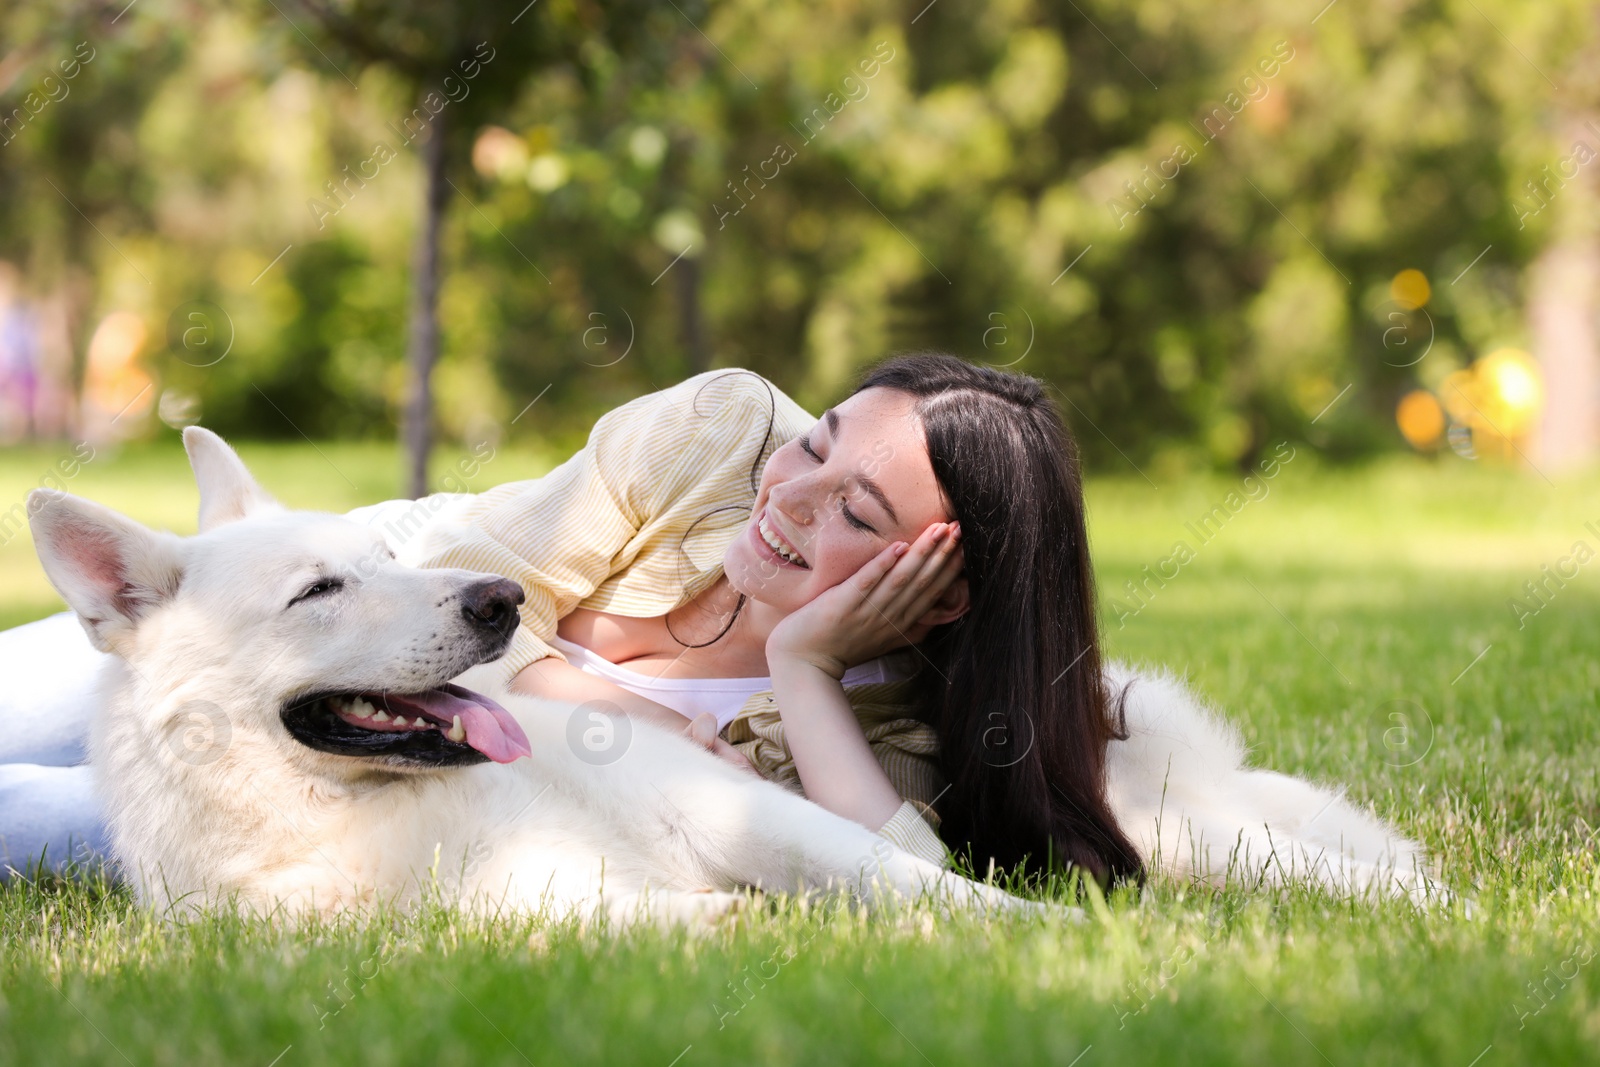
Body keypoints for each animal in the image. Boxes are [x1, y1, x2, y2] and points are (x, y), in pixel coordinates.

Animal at [21, 428, 1427, 921]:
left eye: (387, 561)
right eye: (318, 590)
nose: (498, 600)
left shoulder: (760, 815)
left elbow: (936, 888)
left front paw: (1060, 949)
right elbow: (653, 920)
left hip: (1164, 819)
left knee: (1276, 847)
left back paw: (1426, 901)